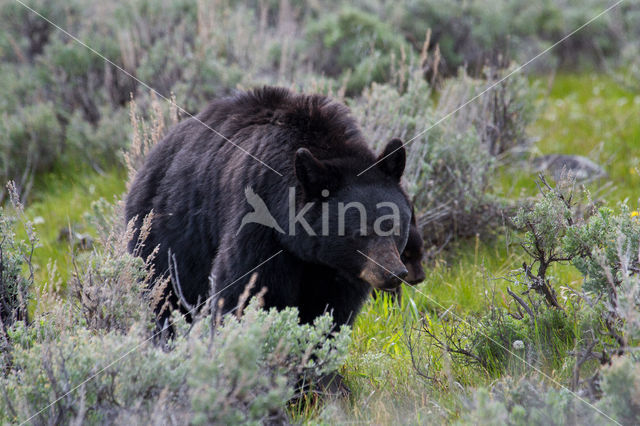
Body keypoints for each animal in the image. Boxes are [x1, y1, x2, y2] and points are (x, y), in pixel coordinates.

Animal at [126, 85, 410, 326]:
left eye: (395, 228)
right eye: (359, 232)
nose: (393, 273)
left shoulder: (338, 268)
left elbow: (331, 311)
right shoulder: (259, 220)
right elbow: (244, 287)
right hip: (168, 236)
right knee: (166, 293)